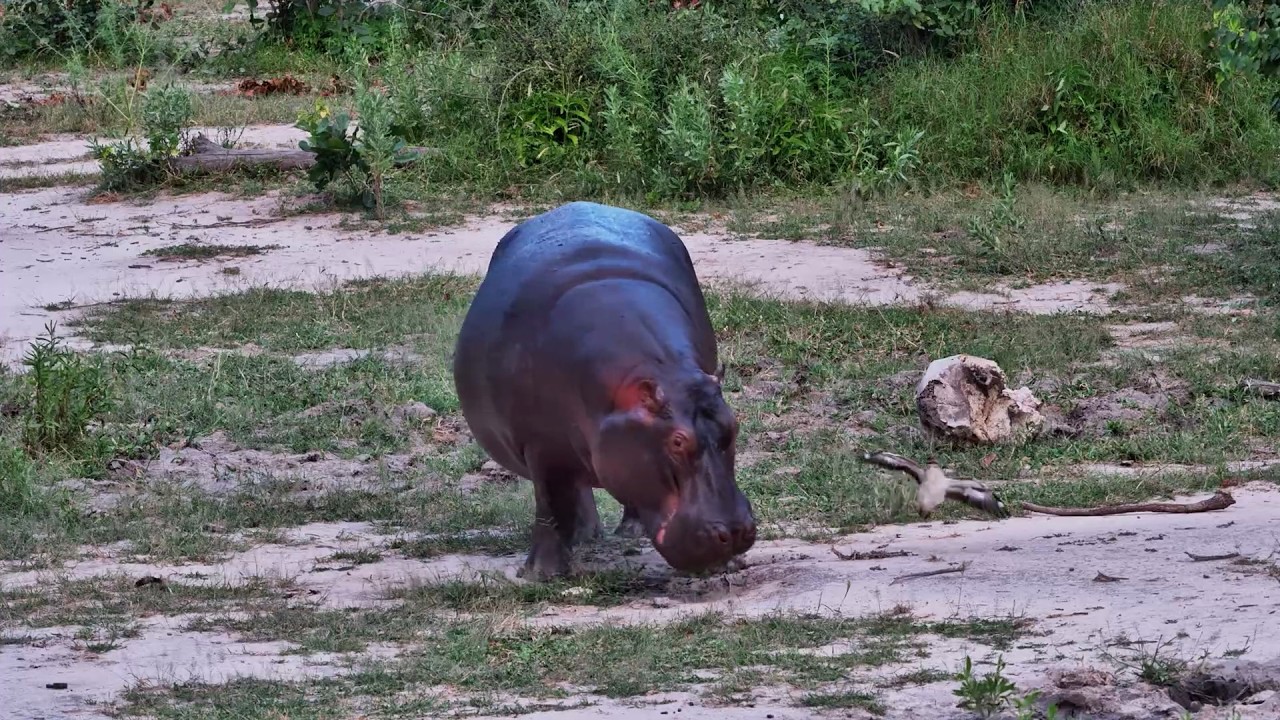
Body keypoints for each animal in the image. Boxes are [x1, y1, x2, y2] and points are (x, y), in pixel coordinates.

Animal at [452, 201, 757, 580]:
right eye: (678, 441)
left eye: (734, 427)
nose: (734, 532)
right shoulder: (539, 444)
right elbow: (549, 507)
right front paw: (541, 574)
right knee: (570, 493)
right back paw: (584, 537)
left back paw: (628, 531)